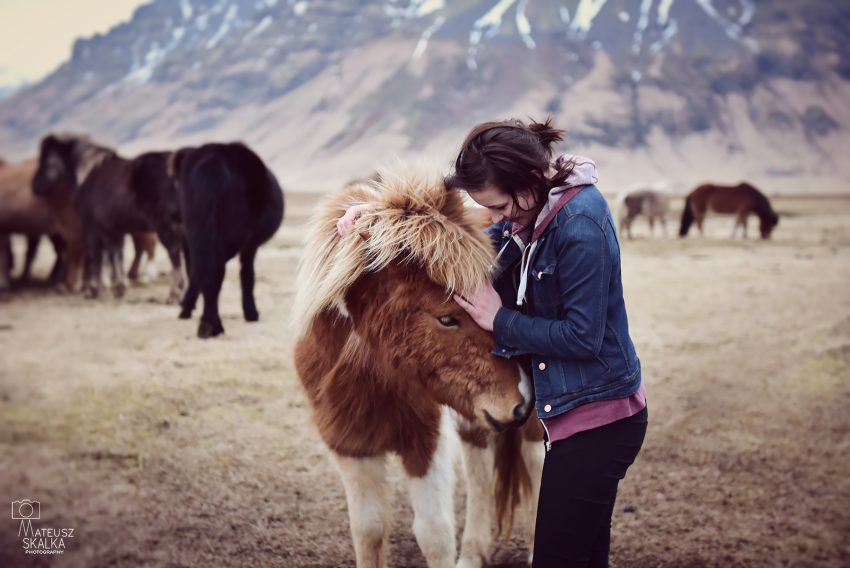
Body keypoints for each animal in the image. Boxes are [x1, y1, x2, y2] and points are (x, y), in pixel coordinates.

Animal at [167, 143, 284, 338]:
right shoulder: (250, 245)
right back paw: (211, 324)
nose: (174, 216)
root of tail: (214, 160)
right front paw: (252, 313)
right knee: (215, 272)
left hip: (199, 232)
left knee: (204, 270)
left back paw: (206, 322)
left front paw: (186, 308)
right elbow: (247, 275)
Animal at [292, 170, 544, 568]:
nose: (520, 401)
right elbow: (368, 529)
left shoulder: (425, 440)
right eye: (447, 318)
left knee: (535, 462)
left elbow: (434, 533)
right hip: (475, 419)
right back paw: (472, 554)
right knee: (479, 468)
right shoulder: (349, 444)